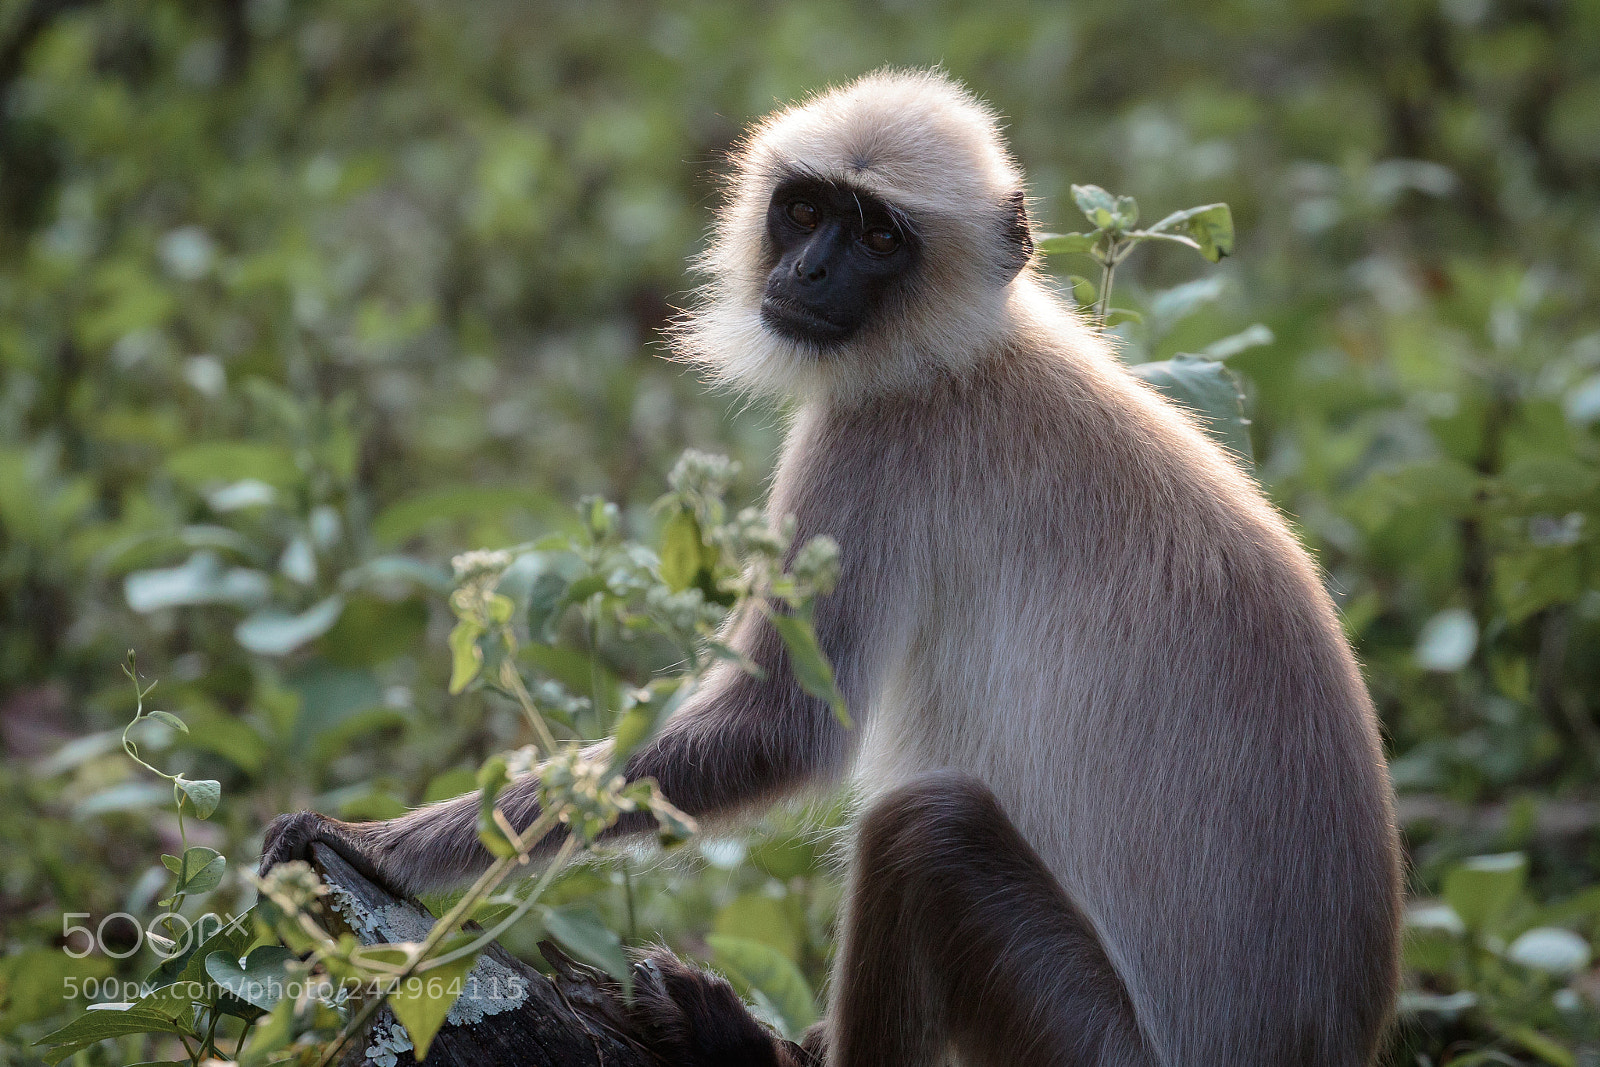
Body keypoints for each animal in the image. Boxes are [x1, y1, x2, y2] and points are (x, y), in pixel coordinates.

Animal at [262, 69, 1402, 1066]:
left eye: (878, 235)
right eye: (805, 210)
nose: (807, 273)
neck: (964, 350)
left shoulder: (873, 436)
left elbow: (779, 728)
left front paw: (373, 843)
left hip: (1088, 1041)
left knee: (928, 829)